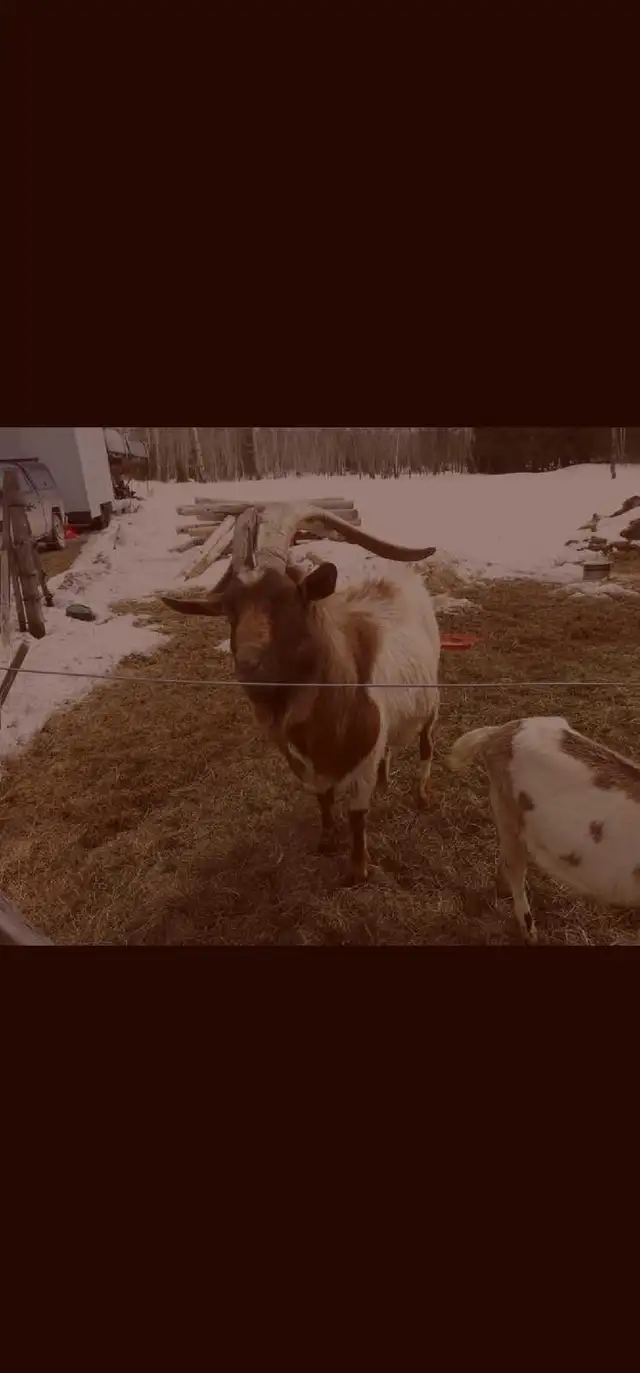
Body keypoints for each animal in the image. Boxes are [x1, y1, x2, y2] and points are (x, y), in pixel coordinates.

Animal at [163, 503, 440, 882]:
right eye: (229, 609)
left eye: (286, 598)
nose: (248, 663)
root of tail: (403, 578)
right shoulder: (309, 763)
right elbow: (323, 798)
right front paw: (327, 841)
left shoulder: (362, 761)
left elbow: (357, 813)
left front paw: (358, 868)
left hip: (432, 699)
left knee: (426, 744)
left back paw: (423, 795)